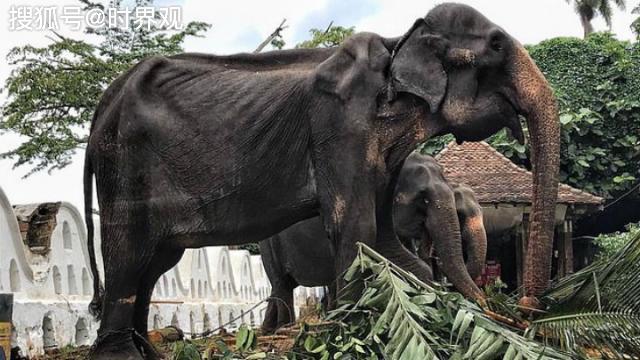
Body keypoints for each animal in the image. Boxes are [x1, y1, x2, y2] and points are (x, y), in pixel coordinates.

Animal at [258, 151, 488, 332]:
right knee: (281, 285)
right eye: (423, 199)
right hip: (268, 245)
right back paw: (284, 328)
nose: (488, 308)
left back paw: (270, 329)